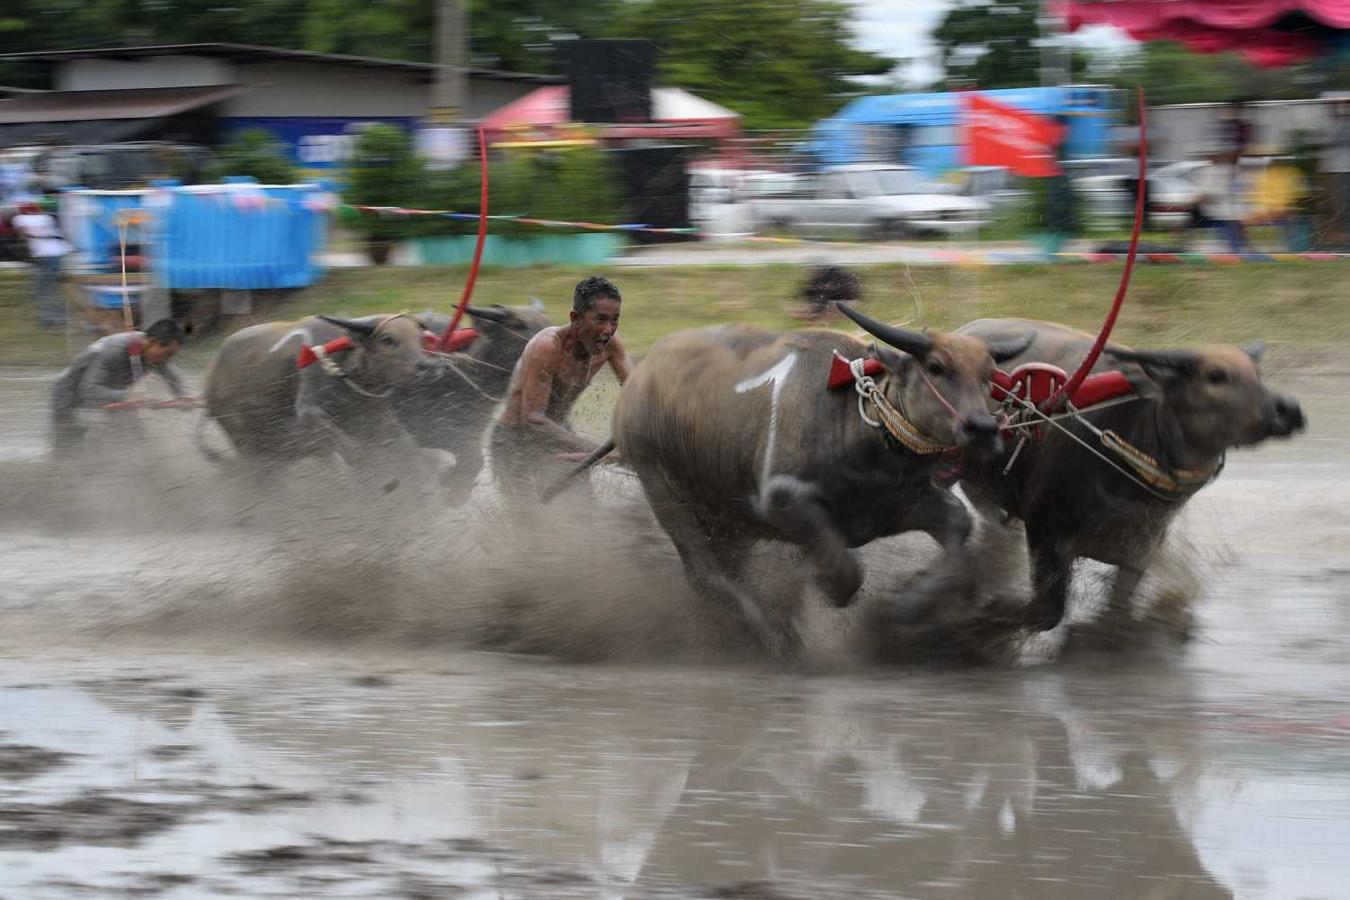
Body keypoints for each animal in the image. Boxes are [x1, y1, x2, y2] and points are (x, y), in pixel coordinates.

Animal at [202, 311, 440, 472]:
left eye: (420, 337)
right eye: (387, 339)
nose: (428, 366)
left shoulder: (378, 421)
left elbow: (408, 447)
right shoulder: (310, 414)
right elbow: (354, 453)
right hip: (246, 442)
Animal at [612, 304, 1031, 655]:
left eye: (988, 376)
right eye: (936, 367)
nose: (982, 429)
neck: (856, 427)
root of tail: (636, 385)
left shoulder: (900, 504)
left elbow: (958, 526)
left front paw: (905, 607)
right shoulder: (782, 500)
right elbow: (846, 574)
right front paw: (831, 592)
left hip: (727, 515)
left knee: (727, 569)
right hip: (663, 489)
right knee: (704, 574)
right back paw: (773, 638)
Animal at [955, 319, 1301, 636]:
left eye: (1258, 374)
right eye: (1215, 375)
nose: (1289, 410)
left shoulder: (1141, 551)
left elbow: (1118, 607)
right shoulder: (1044, 535)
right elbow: (1047, 613)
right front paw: (981, 615)